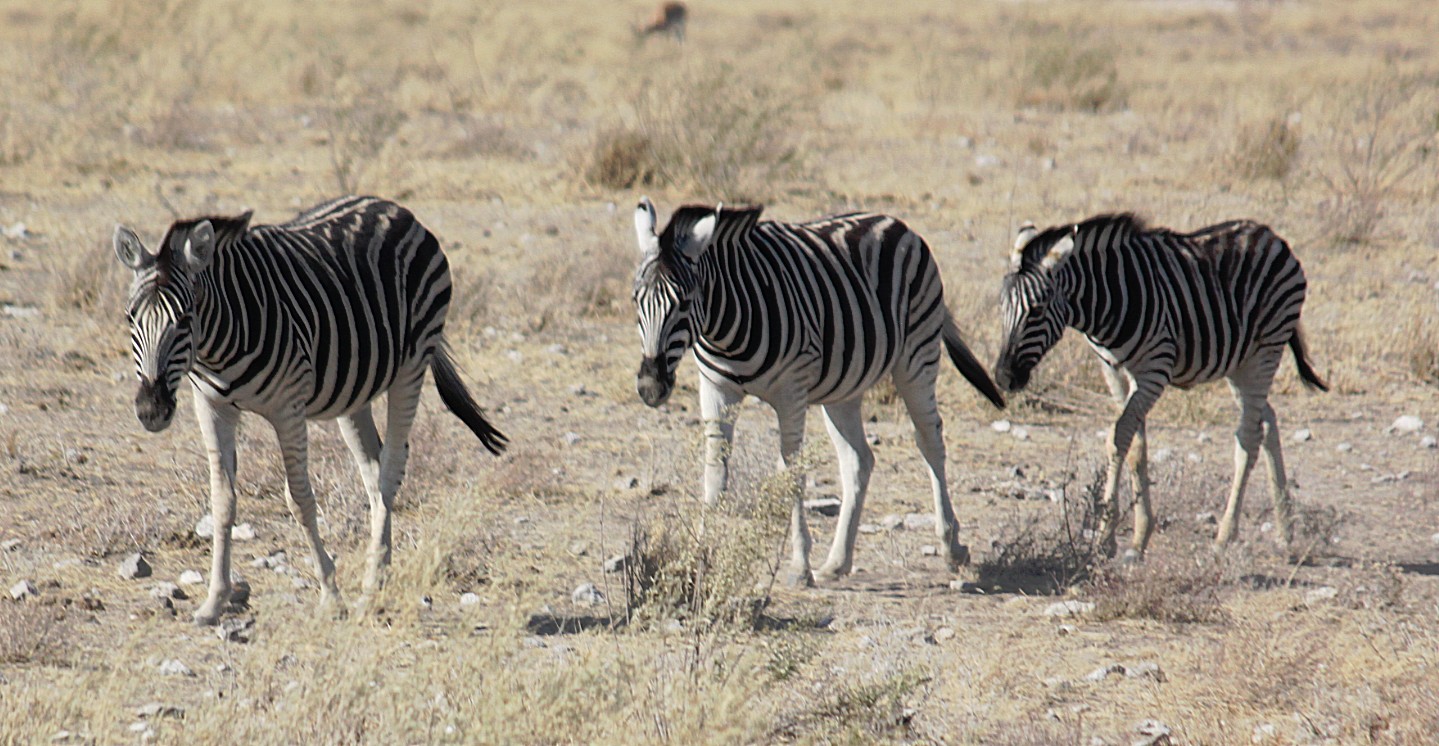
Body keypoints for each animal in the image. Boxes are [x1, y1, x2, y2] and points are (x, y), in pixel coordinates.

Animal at [113, 194, 506, 625]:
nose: (151, 410)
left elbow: (299, 500)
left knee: (390, 468)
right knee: (372, 470)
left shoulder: (289, 408)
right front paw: (214, 600)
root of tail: (394, 208)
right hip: (355, 392)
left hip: (412, 364)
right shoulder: (212, 407)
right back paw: (380, 572)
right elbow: (222, 502)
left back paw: (371, 585)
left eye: (185, 318)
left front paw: (331, 596)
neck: (218, 348)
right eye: (130, 317)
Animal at [624, 198, 1007, 590]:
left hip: (917, 355)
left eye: (685, 302)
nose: (651, 388)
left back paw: (951, 547)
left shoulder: (791, 393)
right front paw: (698, 562)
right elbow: (715, 475)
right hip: (844, 388)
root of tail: (896, 222)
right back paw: (837, 562)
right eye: (636, 300)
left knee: (929, 440)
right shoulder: (716, 389)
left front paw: (799, 565)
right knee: (858, 461)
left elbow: (792, 474)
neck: (725, 332)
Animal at [995, 213, 1318, 558]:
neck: (1105, 301)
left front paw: (1106, 536)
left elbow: (1118, 437)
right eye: (1001, 308)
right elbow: (1135, 445)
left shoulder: (1154, 371)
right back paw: (1285, 529)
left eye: (1037, 310)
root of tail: (1271, 235)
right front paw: (1139, 535)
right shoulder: (1113, 372)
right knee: (1266, 420)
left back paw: (1226, 535)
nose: (1003, 377)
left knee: (1248, 436)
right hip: (1240, 363)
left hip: (1265, 351)